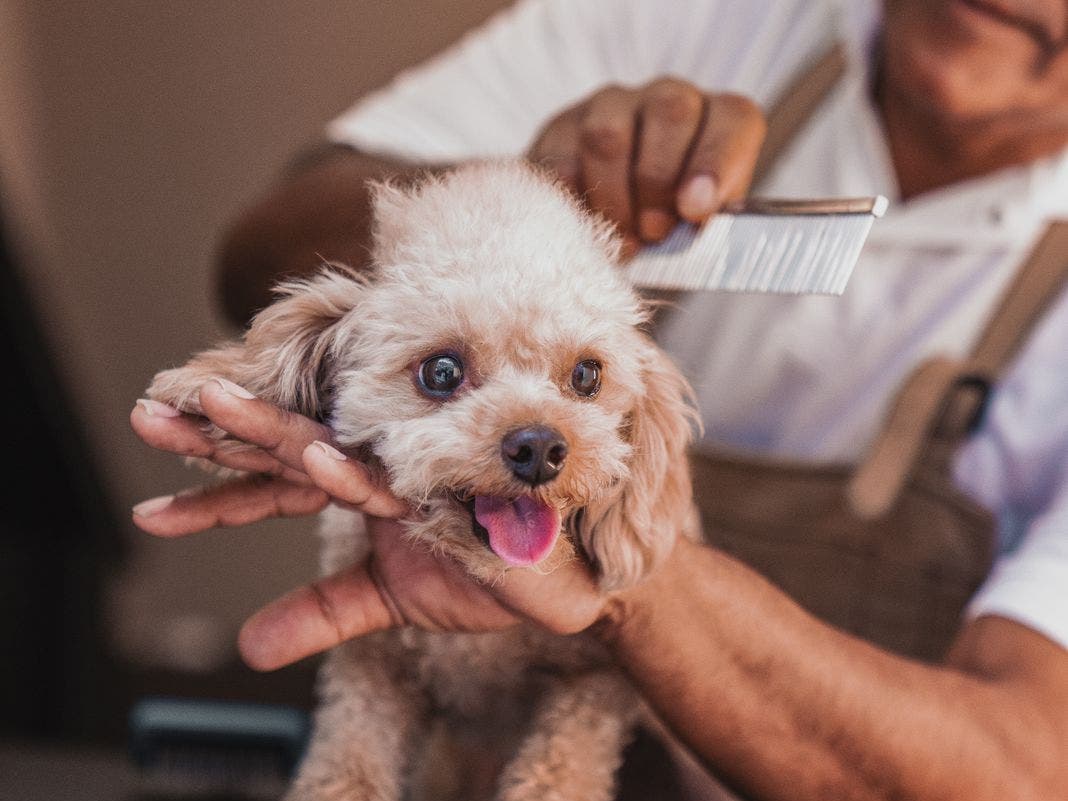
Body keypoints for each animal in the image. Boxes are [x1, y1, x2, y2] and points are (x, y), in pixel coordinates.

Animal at [148, 160, 700, 798]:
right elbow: (348, 766)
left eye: (587, 375)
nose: (539, 448)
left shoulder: (595, 682)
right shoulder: (374, 669)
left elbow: (560, 768)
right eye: (441, 372)